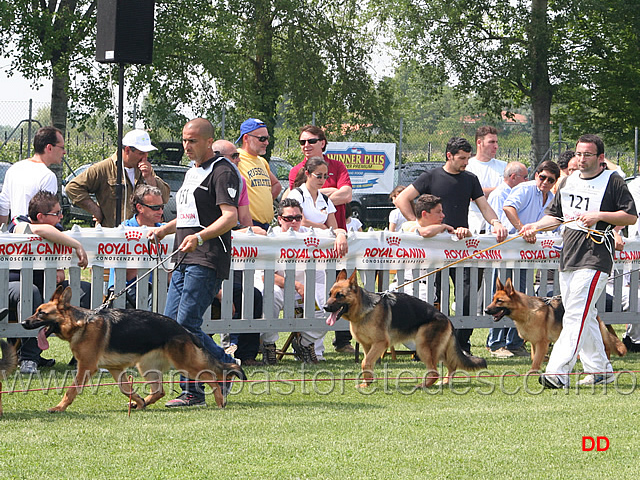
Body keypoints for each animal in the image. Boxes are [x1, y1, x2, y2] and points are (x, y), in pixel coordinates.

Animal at [20, 284, 245, 412]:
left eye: (41, 313)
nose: (22, 322)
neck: (80, 324)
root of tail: (183, 330)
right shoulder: (115, 369)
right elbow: (125, 388)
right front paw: (138, 400)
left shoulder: (85, 368)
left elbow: (70, 390)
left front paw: (59, 408)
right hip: (145, 367)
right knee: (160, 391)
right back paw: (142, 403)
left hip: (185, 364)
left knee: (212, 377)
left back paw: (220, 399)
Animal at [324, 268, 484, 388]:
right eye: (330, 294)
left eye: (340, 295)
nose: (325, 307)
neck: (366, 310)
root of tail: (447, 319)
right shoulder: (367, 345)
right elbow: (367, 363)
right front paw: (367, 382)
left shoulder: (380, 343)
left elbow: (365, 362)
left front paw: (367, 381)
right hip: (439, 350)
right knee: (452, 365)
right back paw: (444, 382)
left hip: (423, 347)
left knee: (435, 372)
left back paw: (423, 385)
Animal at [484, 276, 624, 374]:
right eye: (493, 300)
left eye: (499, 301)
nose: (485, 310)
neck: (528, 312)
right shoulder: (535, 343)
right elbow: (534, 356)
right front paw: (542, 362)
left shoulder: (542, 342)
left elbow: (536, 359)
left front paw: (532, 371)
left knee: (605, 347)